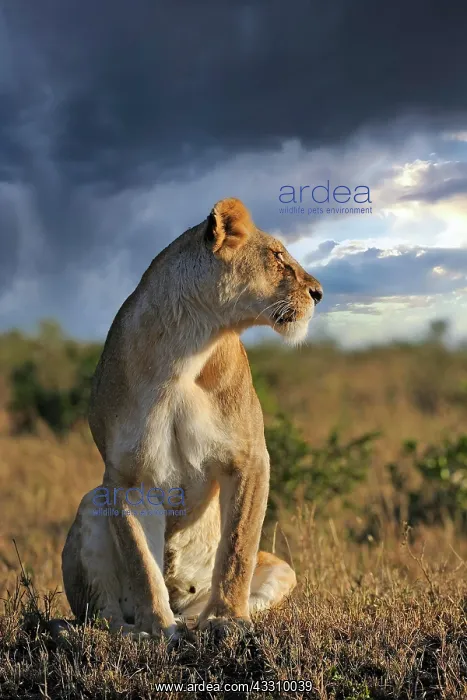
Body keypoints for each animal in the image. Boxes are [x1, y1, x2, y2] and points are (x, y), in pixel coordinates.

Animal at [61, 197, 323, 640]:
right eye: (277, 256)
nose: (318, 293)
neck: (187, 347)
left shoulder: (248, 458)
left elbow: (236, 549)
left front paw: (226, 619)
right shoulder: (126, 478)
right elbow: (142, 562)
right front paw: (155, 630)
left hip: (284, 570)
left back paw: (194, 621)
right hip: (92, 502)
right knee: (102, 615)